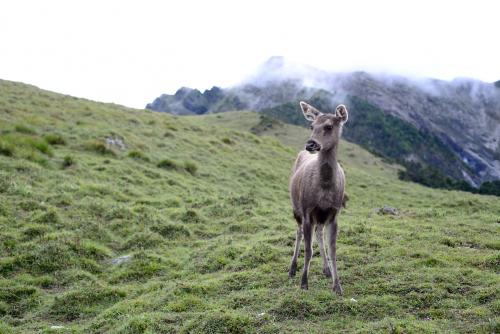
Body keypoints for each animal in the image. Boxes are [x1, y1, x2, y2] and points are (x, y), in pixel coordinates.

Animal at [290, 100, 348, 294]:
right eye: (311, 126)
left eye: (329, 126)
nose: (311, 145)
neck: (324, 190)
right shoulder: (307, 211)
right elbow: (308, 250)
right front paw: (304, 283)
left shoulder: (334, 213)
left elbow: (333, 250)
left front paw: (337, 287)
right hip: (296, 208)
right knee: (299, 233)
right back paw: (292, 269)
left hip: (321, 217)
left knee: (319, 233)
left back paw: (326, 270)